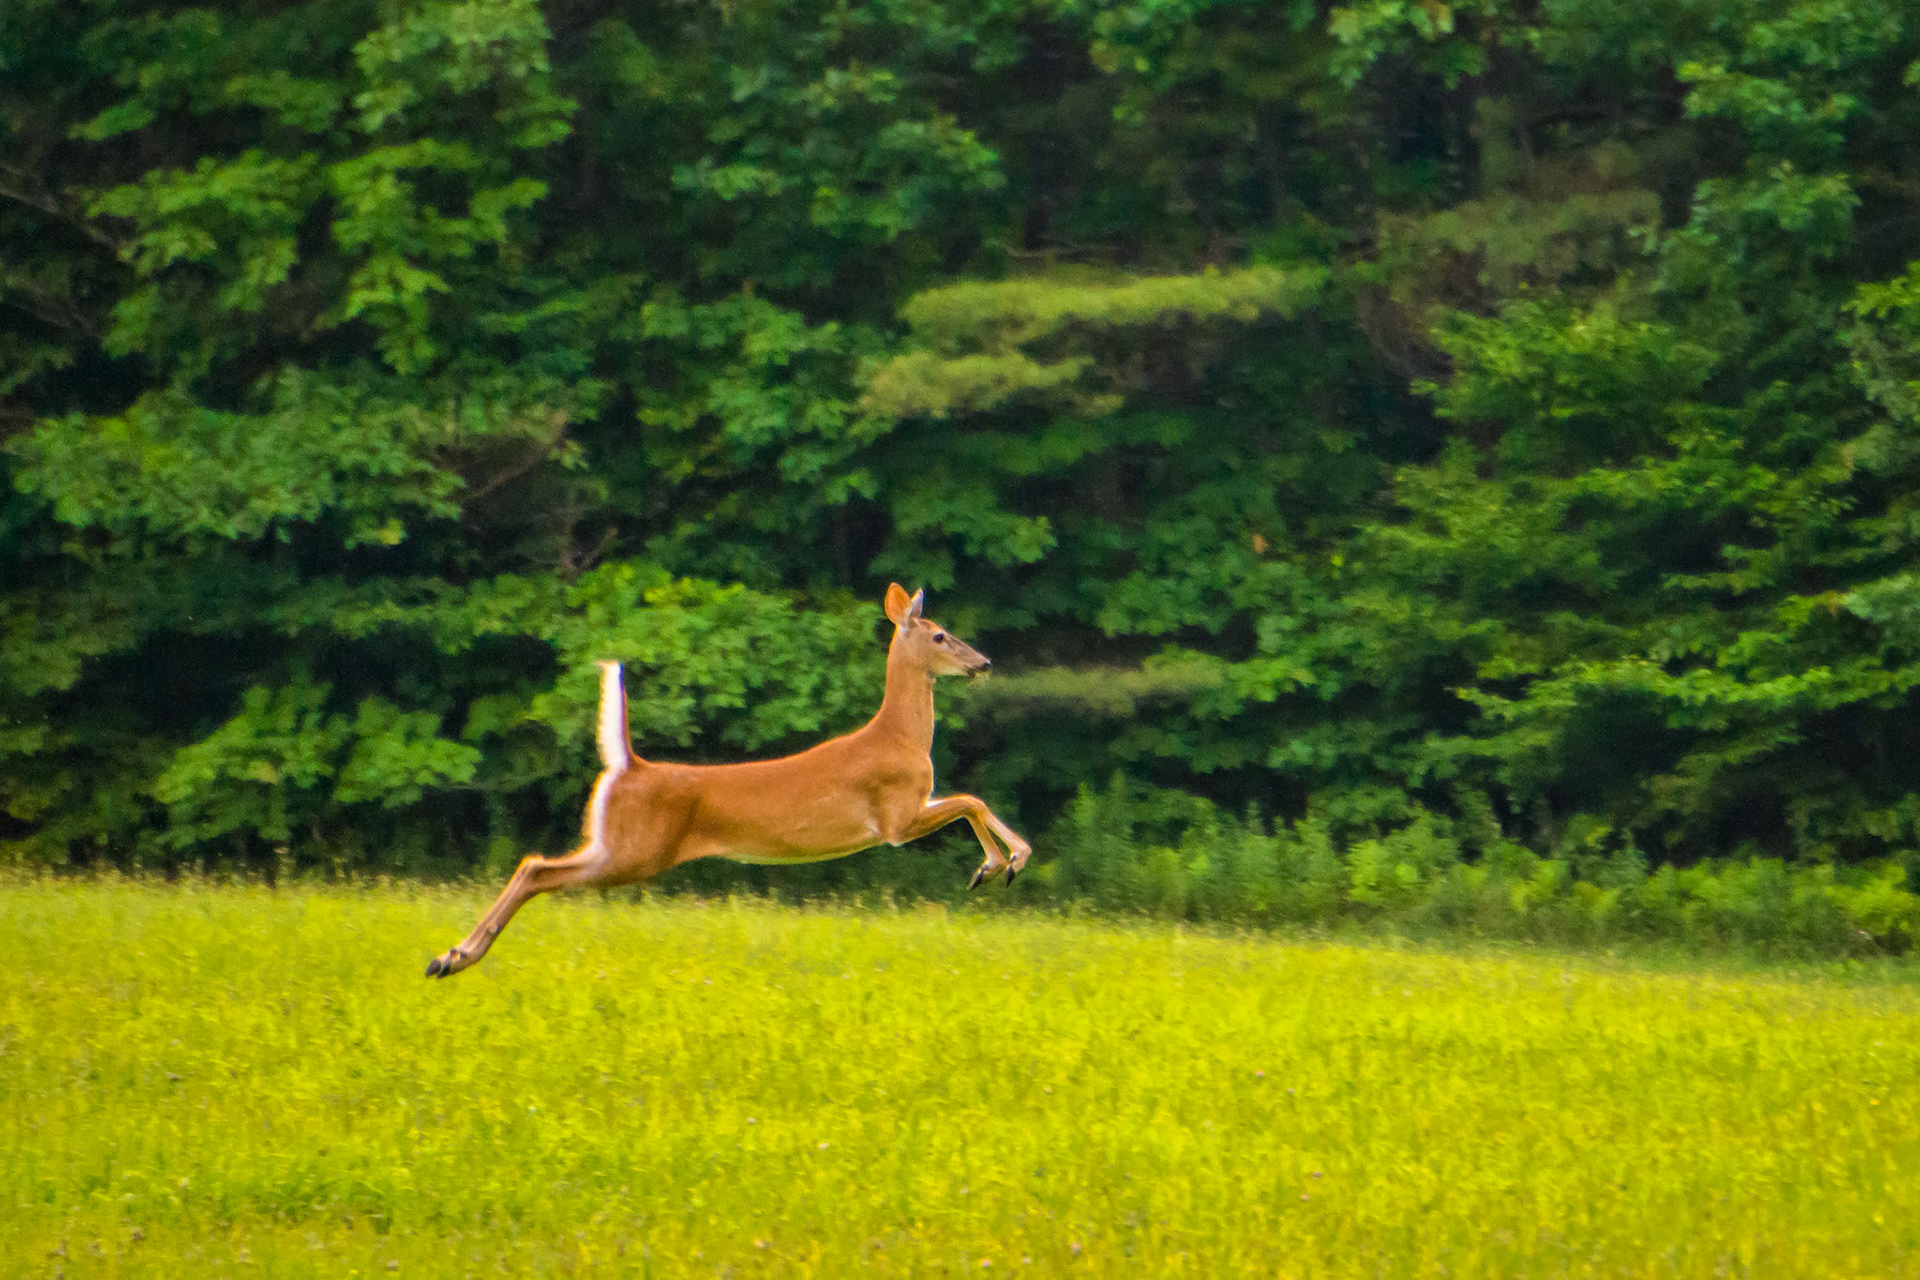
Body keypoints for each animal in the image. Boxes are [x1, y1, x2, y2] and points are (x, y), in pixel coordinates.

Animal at [425, 583, 1030, 977]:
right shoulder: (895, 816)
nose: (984, 662)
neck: (901, 738)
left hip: (610, 841)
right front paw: (1000, 865)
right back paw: (453, 958)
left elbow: (972, 801)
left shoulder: (906, 812)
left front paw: (997, 865)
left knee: (533, 862)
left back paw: (449, 958)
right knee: (537, 869)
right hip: (634, 851)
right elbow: (972, 799)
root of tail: (630, 766)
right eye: (940, 635)